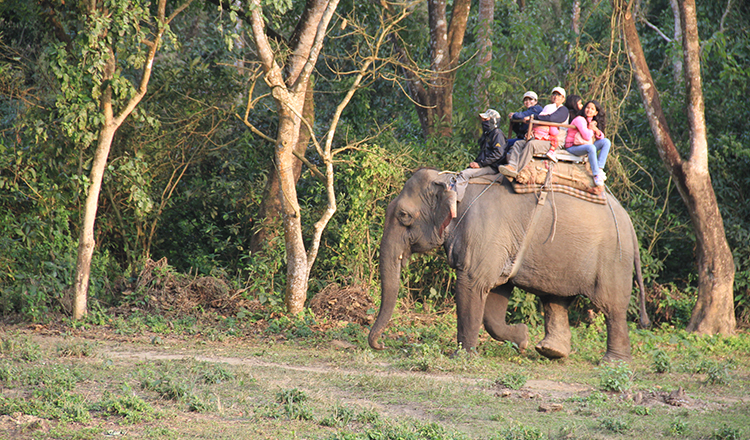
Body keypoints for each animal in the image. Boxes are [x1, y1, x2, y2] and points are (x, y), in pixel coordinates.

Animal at [370, 167, 652, 362]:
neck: (453, 183)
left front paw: (462, 357)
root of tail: (628, 221)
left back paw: (613, 362)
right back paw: (550, 351)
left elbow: (472, 284)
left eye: (404, 216)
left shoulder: (485, 234)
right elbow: (495, 296)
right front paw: (522, 339)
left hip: (613, 258)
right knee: (555, 300)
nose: (381, 345)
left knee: (612, 307)